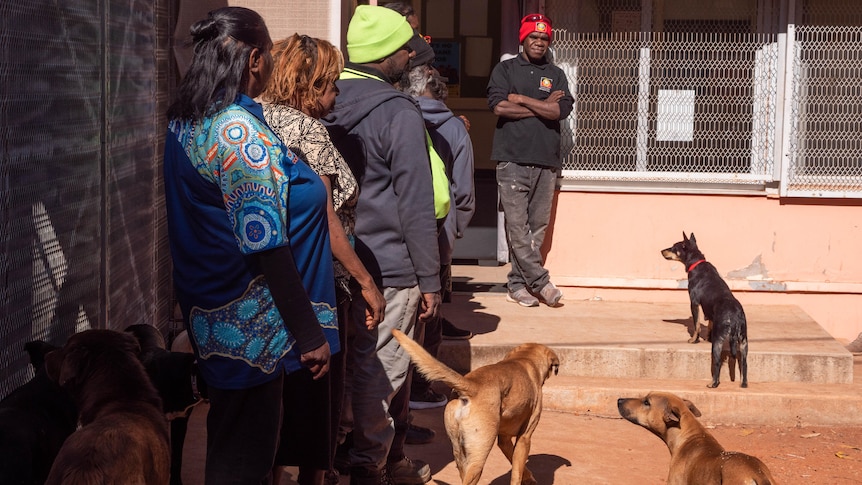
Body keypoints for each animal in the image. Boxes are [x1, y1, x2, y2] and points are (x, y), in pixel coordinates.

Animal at [664, 233, 744, 388]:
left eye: (673, 247)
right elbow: (709, 322)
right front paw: (707, 337)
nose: (661, 251)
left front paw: (693, 340)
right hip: (743, 342)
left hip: (719, 342)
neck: (697, 263)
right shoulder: (709, 309)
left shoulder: (694, 302)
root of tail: (735, 315)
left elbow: (696, 325)